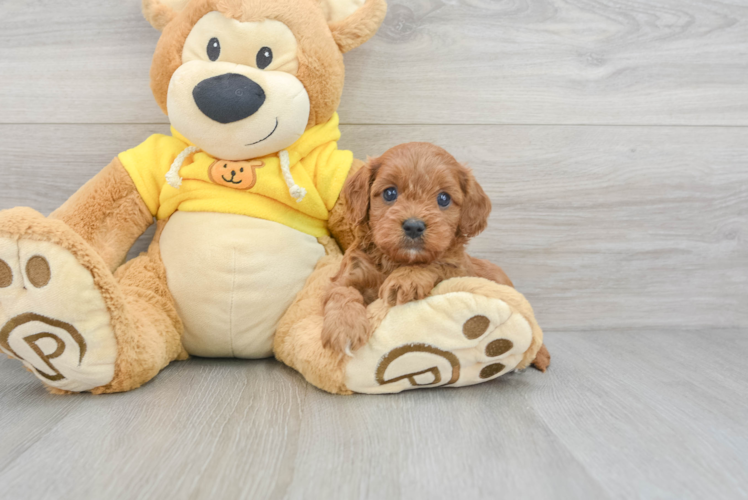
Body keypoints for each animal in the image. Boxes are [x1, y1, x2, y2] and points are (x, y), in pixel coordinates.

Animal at [322, 142, 516, 356]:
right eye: (390, 193)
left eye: (443, 198)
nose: (413, 226)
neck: (396, 260)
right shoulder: (349, 272)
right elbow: (341, 291)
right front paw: (344, 326)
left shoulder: (459, 272)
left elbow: (435, 263)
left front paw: (406, 279)